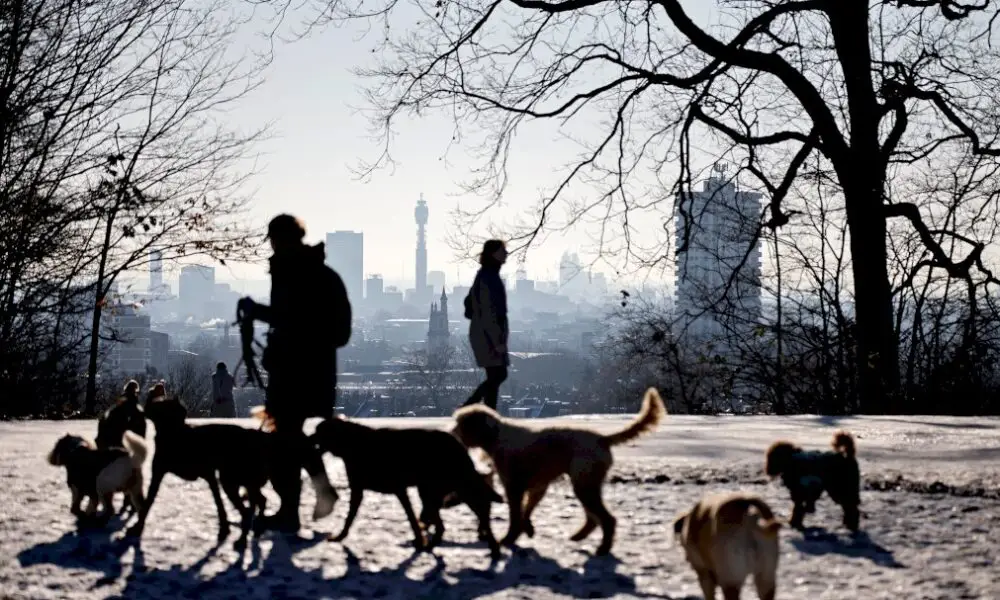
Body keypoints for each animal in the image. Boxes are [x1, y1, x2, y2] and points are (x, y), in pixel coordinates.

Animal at [125, 390, 274, 548]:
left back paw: (243, 538)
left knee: (248, 510)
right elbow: (148, 501)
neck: (174, 434)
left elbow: (219, 502)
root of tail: (258, 436)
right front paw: (138, 526)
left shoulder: (209, 474)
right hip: (241, 480)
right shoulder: (158, 474)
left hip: (233, 479)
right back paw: (255, 529)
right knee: (259, 501)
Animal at [310, 414, 504, 556]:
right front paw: (341, 536)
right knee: (446, 524)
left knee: (476, 511)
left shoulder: (397, 489)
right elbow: (350, 518)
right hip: (437, 489)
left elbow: (411, 519)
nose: (308, 438)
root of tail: (456, 443)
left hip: (442, 488)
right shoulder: (364, 490)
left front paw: (419, 540)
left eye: (319, 431)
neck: (351, 442)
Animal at [452, 386, 664, 556]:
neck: (496, 436)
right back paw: (579, 536)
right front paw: (527, 529)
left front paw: (510, 538)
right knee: (593, 519)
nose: (451, 433)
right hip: (586, 484)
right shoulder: (537, 487)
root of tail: (602, 438)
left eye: (461, 424)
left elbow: (516, 515)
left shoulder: (514, 487)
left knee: (607, 519)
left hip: (584, 485)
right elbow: (526, 510)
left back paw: (603, 548)